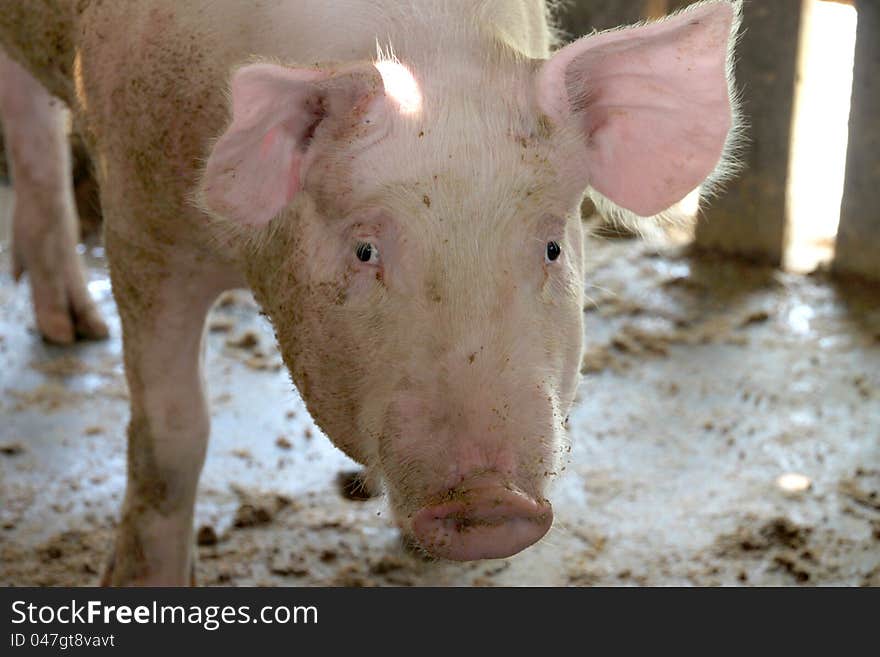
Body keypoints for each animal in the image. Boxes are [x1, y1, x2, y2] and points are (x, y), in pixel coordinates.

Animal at [0, 0, 740, 584]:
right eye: (365, 250)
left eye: (553, 247)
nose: (490, 500)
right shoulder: (140, 226)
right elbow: (172, 435)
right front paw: (143, 582)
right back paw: (79, 332)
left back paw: (73, 325)